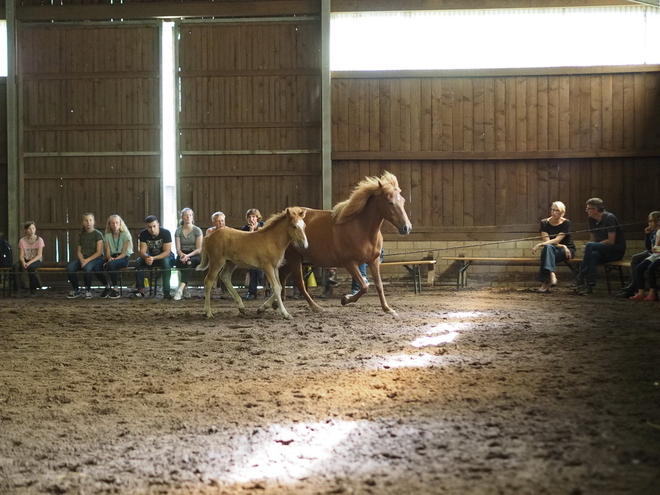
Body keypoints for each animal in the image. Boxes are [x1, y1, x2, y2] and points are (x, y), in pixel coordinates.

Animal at [278, 172, 412, 316]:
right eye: (390, 202)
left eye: (403, 201)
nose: (407, 228)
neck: (361, 227)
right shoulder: (350, 263)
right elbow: (364, 286)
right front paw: (345, 299)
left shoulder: (374, 261)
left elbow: (379, 285)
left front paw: (388, 309)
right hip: (294, 257)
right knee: (299, 282)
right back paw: (315, 307)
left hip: (298, 258)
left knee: (282, 274)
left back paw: (279, 301)